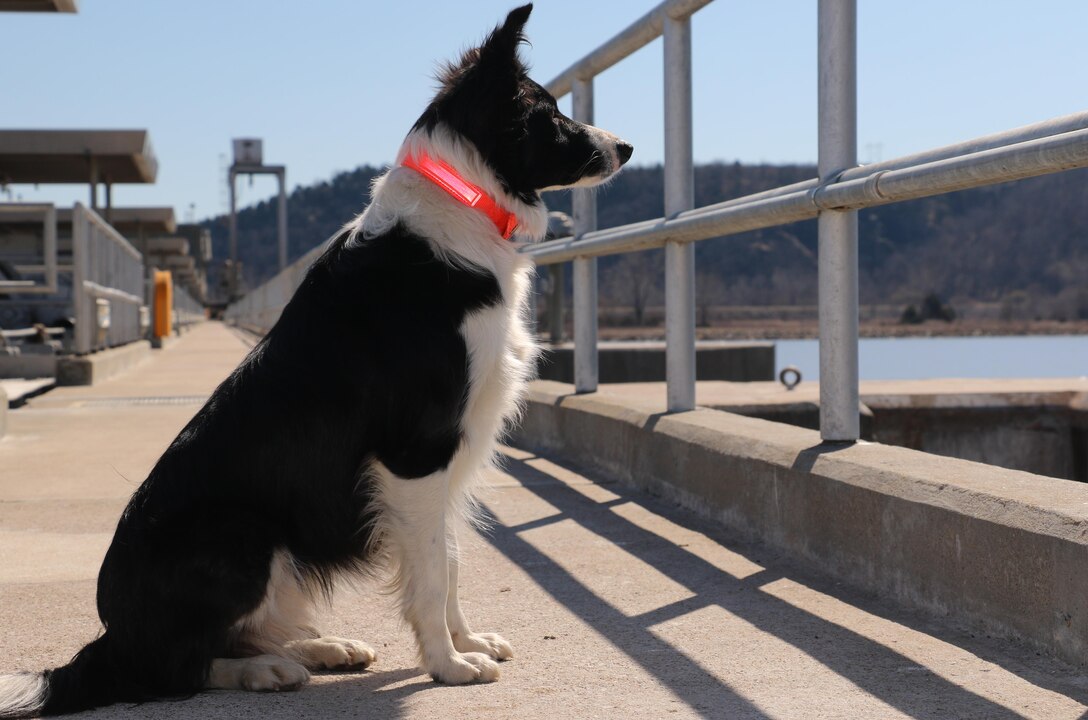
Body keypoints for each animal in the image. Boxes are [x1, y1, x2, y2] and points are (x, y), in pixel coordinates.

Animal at [0, 2, 631, 717]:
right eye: (549, 114)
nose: (627, 148)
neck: (459, 197)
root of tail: (111, 636)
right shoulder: (416, 451)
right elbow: (433, 574)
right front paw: (447, 666)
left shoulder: (446, 458)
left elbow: (449, 558)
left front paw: (467, 644)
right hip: (243, 534)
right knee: (174, 668)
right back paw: (266, 670)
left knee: (233, 639)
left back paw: (322, 649)